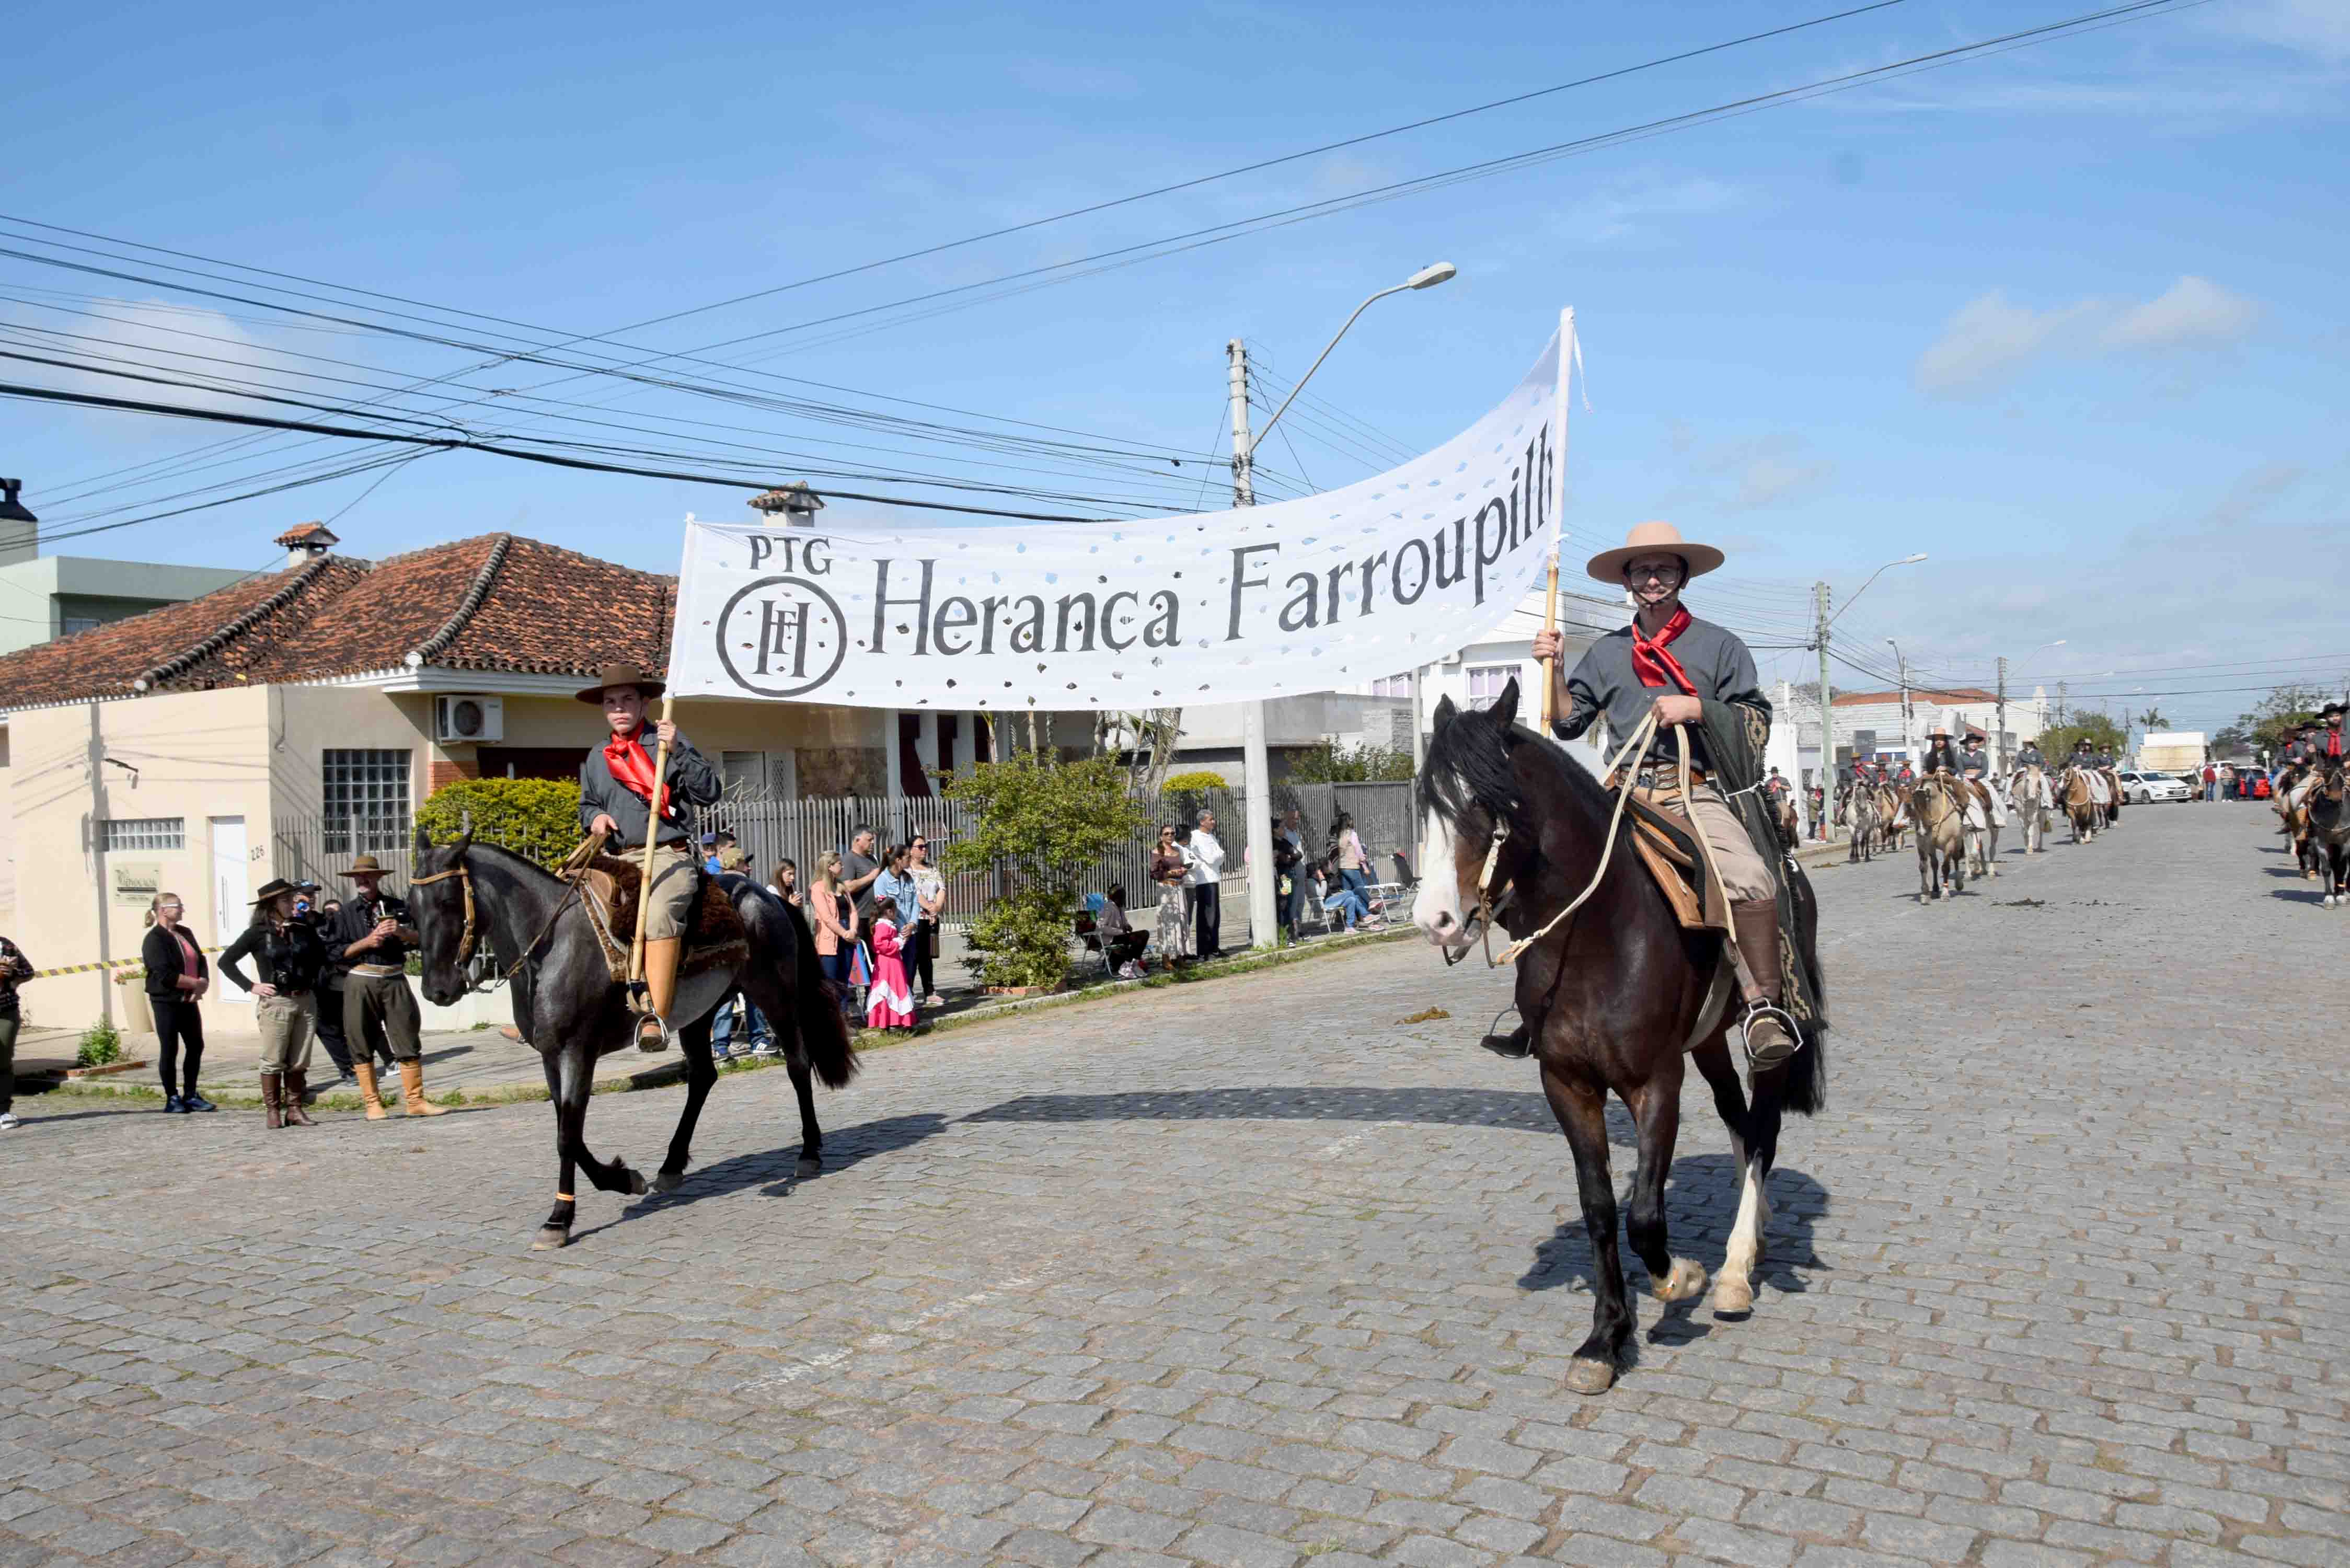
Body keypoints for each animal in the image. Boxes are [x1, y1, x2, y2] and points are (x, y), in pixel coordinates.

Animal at [408, 826, 859, 1249]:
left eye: (448, 902)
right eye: (412, 909)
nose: (437, 990)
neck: (549, 945)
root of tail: (770, 898)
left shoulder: (578, 1051)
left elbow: (567, 1135)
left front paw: (559, 1218)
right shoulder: (551, 1056)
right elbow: (569, 1130)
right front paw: (623, 1180)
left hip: (775, 995)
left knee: (797, 1064)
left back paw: (809, 1152)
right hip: (701, 1014)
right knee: (703, 1077)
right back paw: (672, 1165)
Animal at [1410, 681, 1825, 1395]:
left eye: (1483, 801)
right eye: (1425, 802)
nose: (1432, 920)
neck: (1596, 938)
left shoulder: (1654, 1083)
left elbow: (1644, 1216)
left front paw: (1678, 1277)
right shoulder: (1567, 1085)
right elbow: (1601, 1208)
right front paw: (1604, 1338)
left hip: (1765, 1042)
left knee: (1763, 1131)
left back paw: (1735, 1269)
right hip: (1707, 1043)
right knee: (1738, 1120)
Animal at [1909, 777, 1967, 903]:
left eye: (1927, 803)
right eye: (1913, 807)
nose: (1922, 831)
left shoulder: (1950, 844)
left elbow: (1945, 868)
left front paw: (1945, 894)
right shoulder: (1922, 844)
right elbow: (1923, 867)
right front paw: (1925, 894)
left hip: (1957, 842)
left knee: (1955, 859)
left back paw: (1959, 884)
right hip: (1932, 847)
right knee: (1934, 864)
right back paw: (1935, 889)